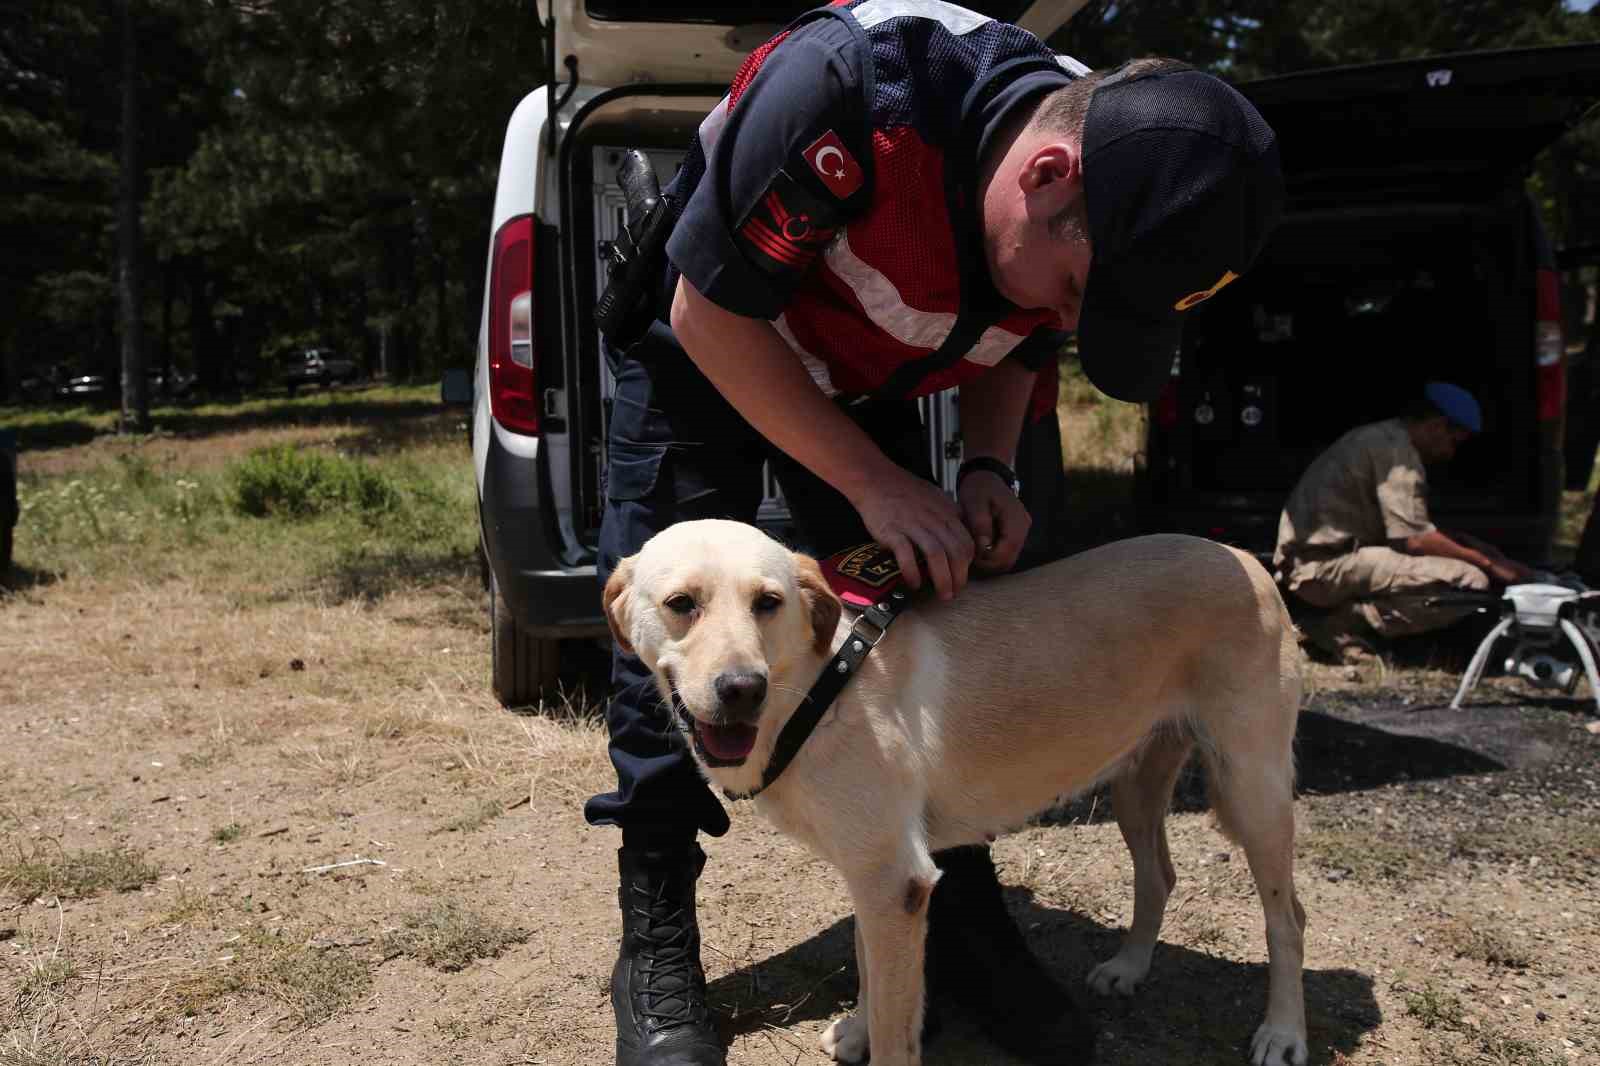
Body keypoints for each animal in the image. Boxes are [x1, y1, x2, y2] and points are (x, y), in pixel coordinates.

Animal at [604, 518, 1305, 1056]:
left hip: (1254, 788)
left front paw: (874, 1039)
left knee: (1287, 917)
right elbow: (865, 964)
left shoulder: (896, 881)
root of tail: (1247, 558)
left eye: (768, 603)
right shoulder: (874, 874)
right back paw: (1129, 968)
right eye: (681, 604)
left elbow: (896, 1028)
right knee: (1159, 873)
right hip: (1137, 781)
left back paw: (1283, 1033)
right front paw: (857, 1030)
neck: (818, 685)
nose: (740, 689)